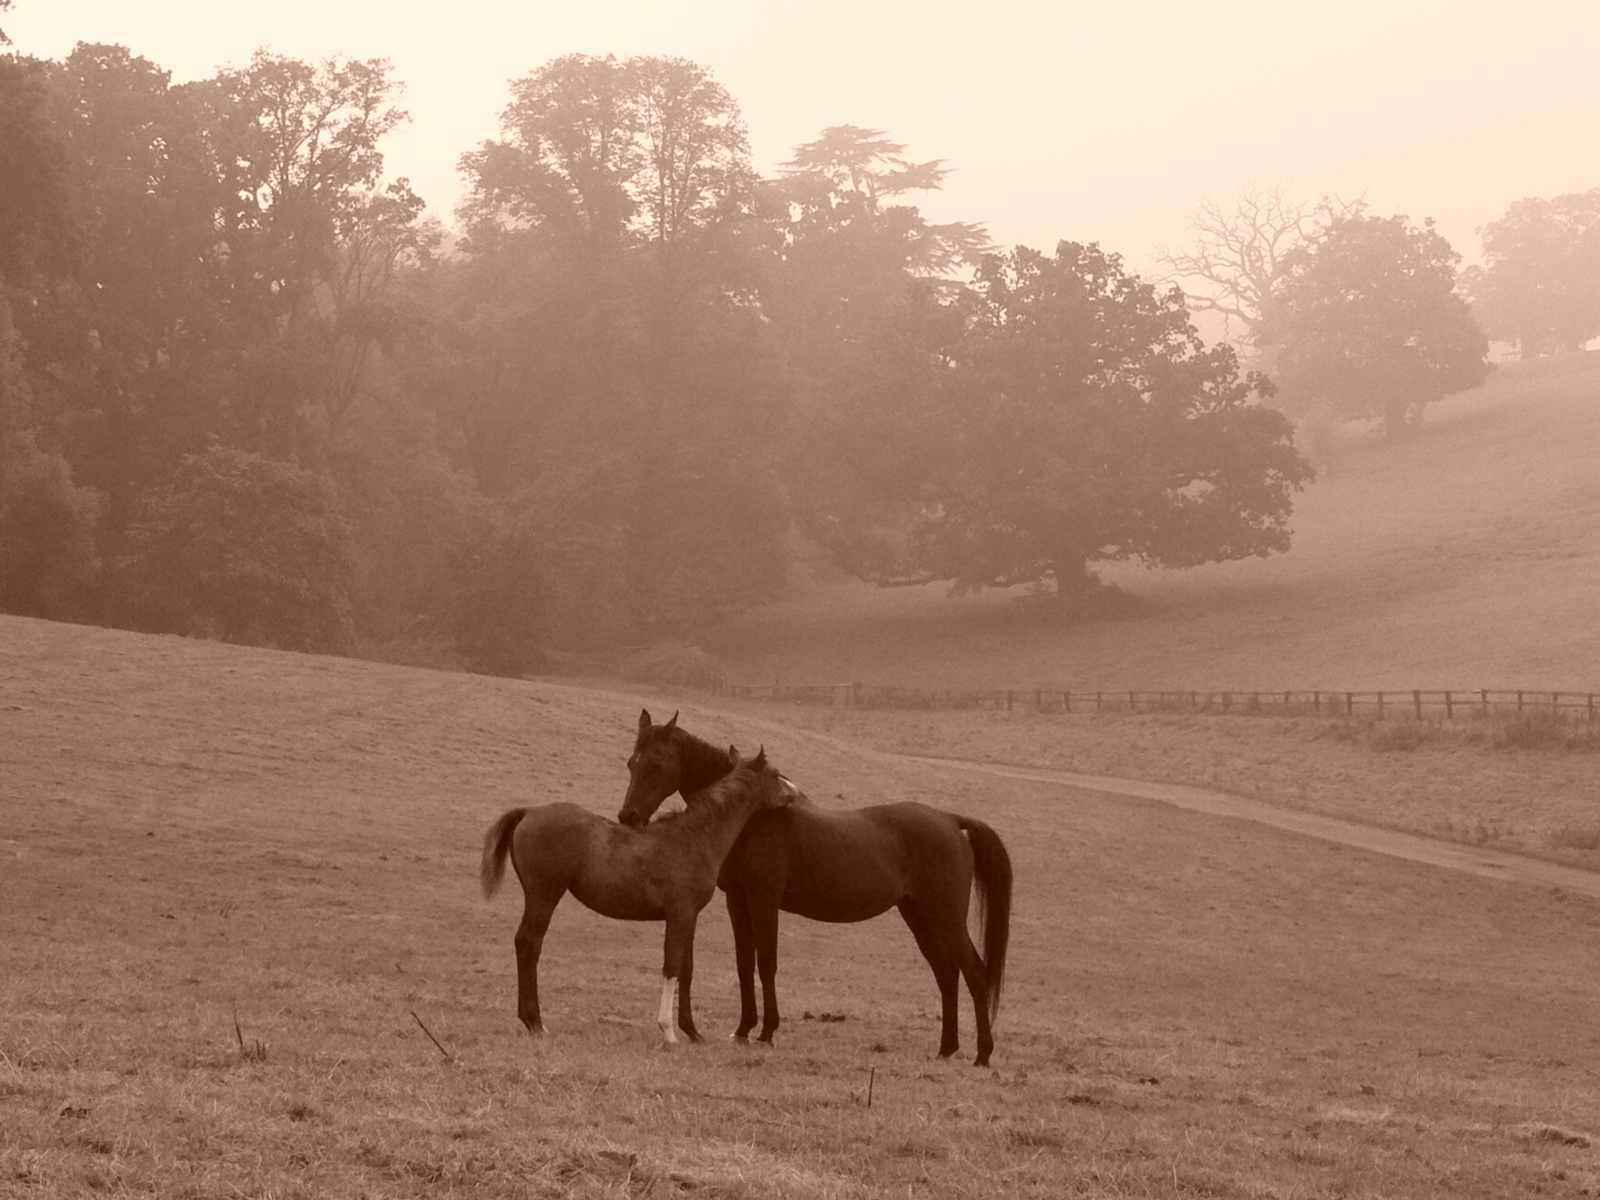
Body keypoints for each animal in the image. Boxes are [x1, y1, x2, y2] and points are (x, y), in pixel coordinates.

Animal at [614, 710, 1011, 1068]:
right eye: (632, 763)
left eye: (657, 764)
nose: (628, 817)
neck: (752, 816)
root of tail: (951, 820)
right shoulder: (737, 900)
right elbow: (744, 964)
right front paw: (743, 1030)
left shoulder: (764, 899)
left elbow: (766, 963)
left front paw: (767, 1032)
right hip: (919, 917)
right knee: (947, 975)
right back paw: (947, 1049)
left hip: (947, 919)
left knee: (974, 973)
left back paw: (983, 1054)